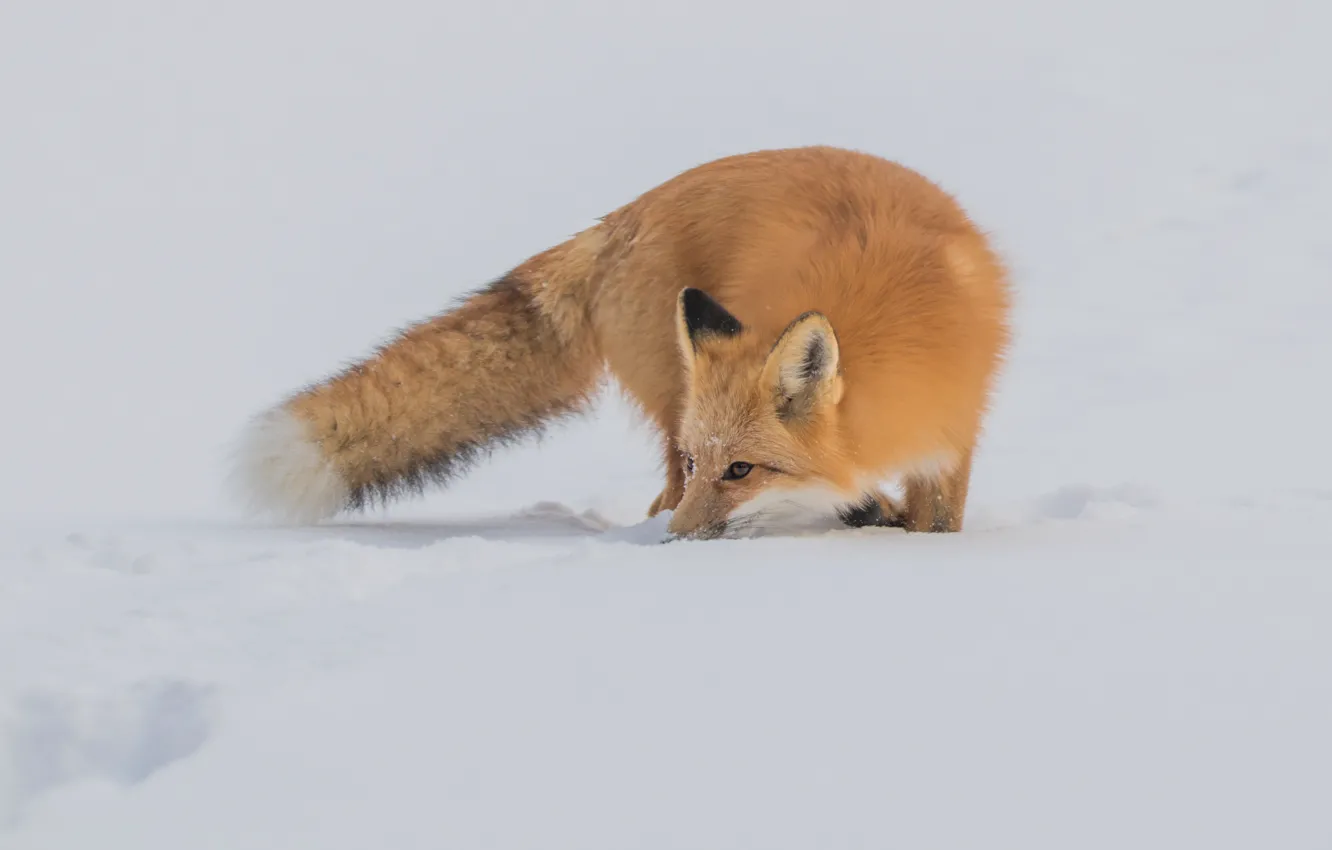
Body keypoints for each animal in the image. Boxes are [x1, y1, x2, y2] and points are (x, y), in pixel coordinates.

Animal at [231, 145, 1006, 538]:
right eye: (704, 463)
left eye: (741, 470)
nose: (675, 544)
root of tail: (616, 220)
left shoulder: (953, 434)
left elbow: (938, 523)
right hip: (670, 399)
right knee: (659, 487)